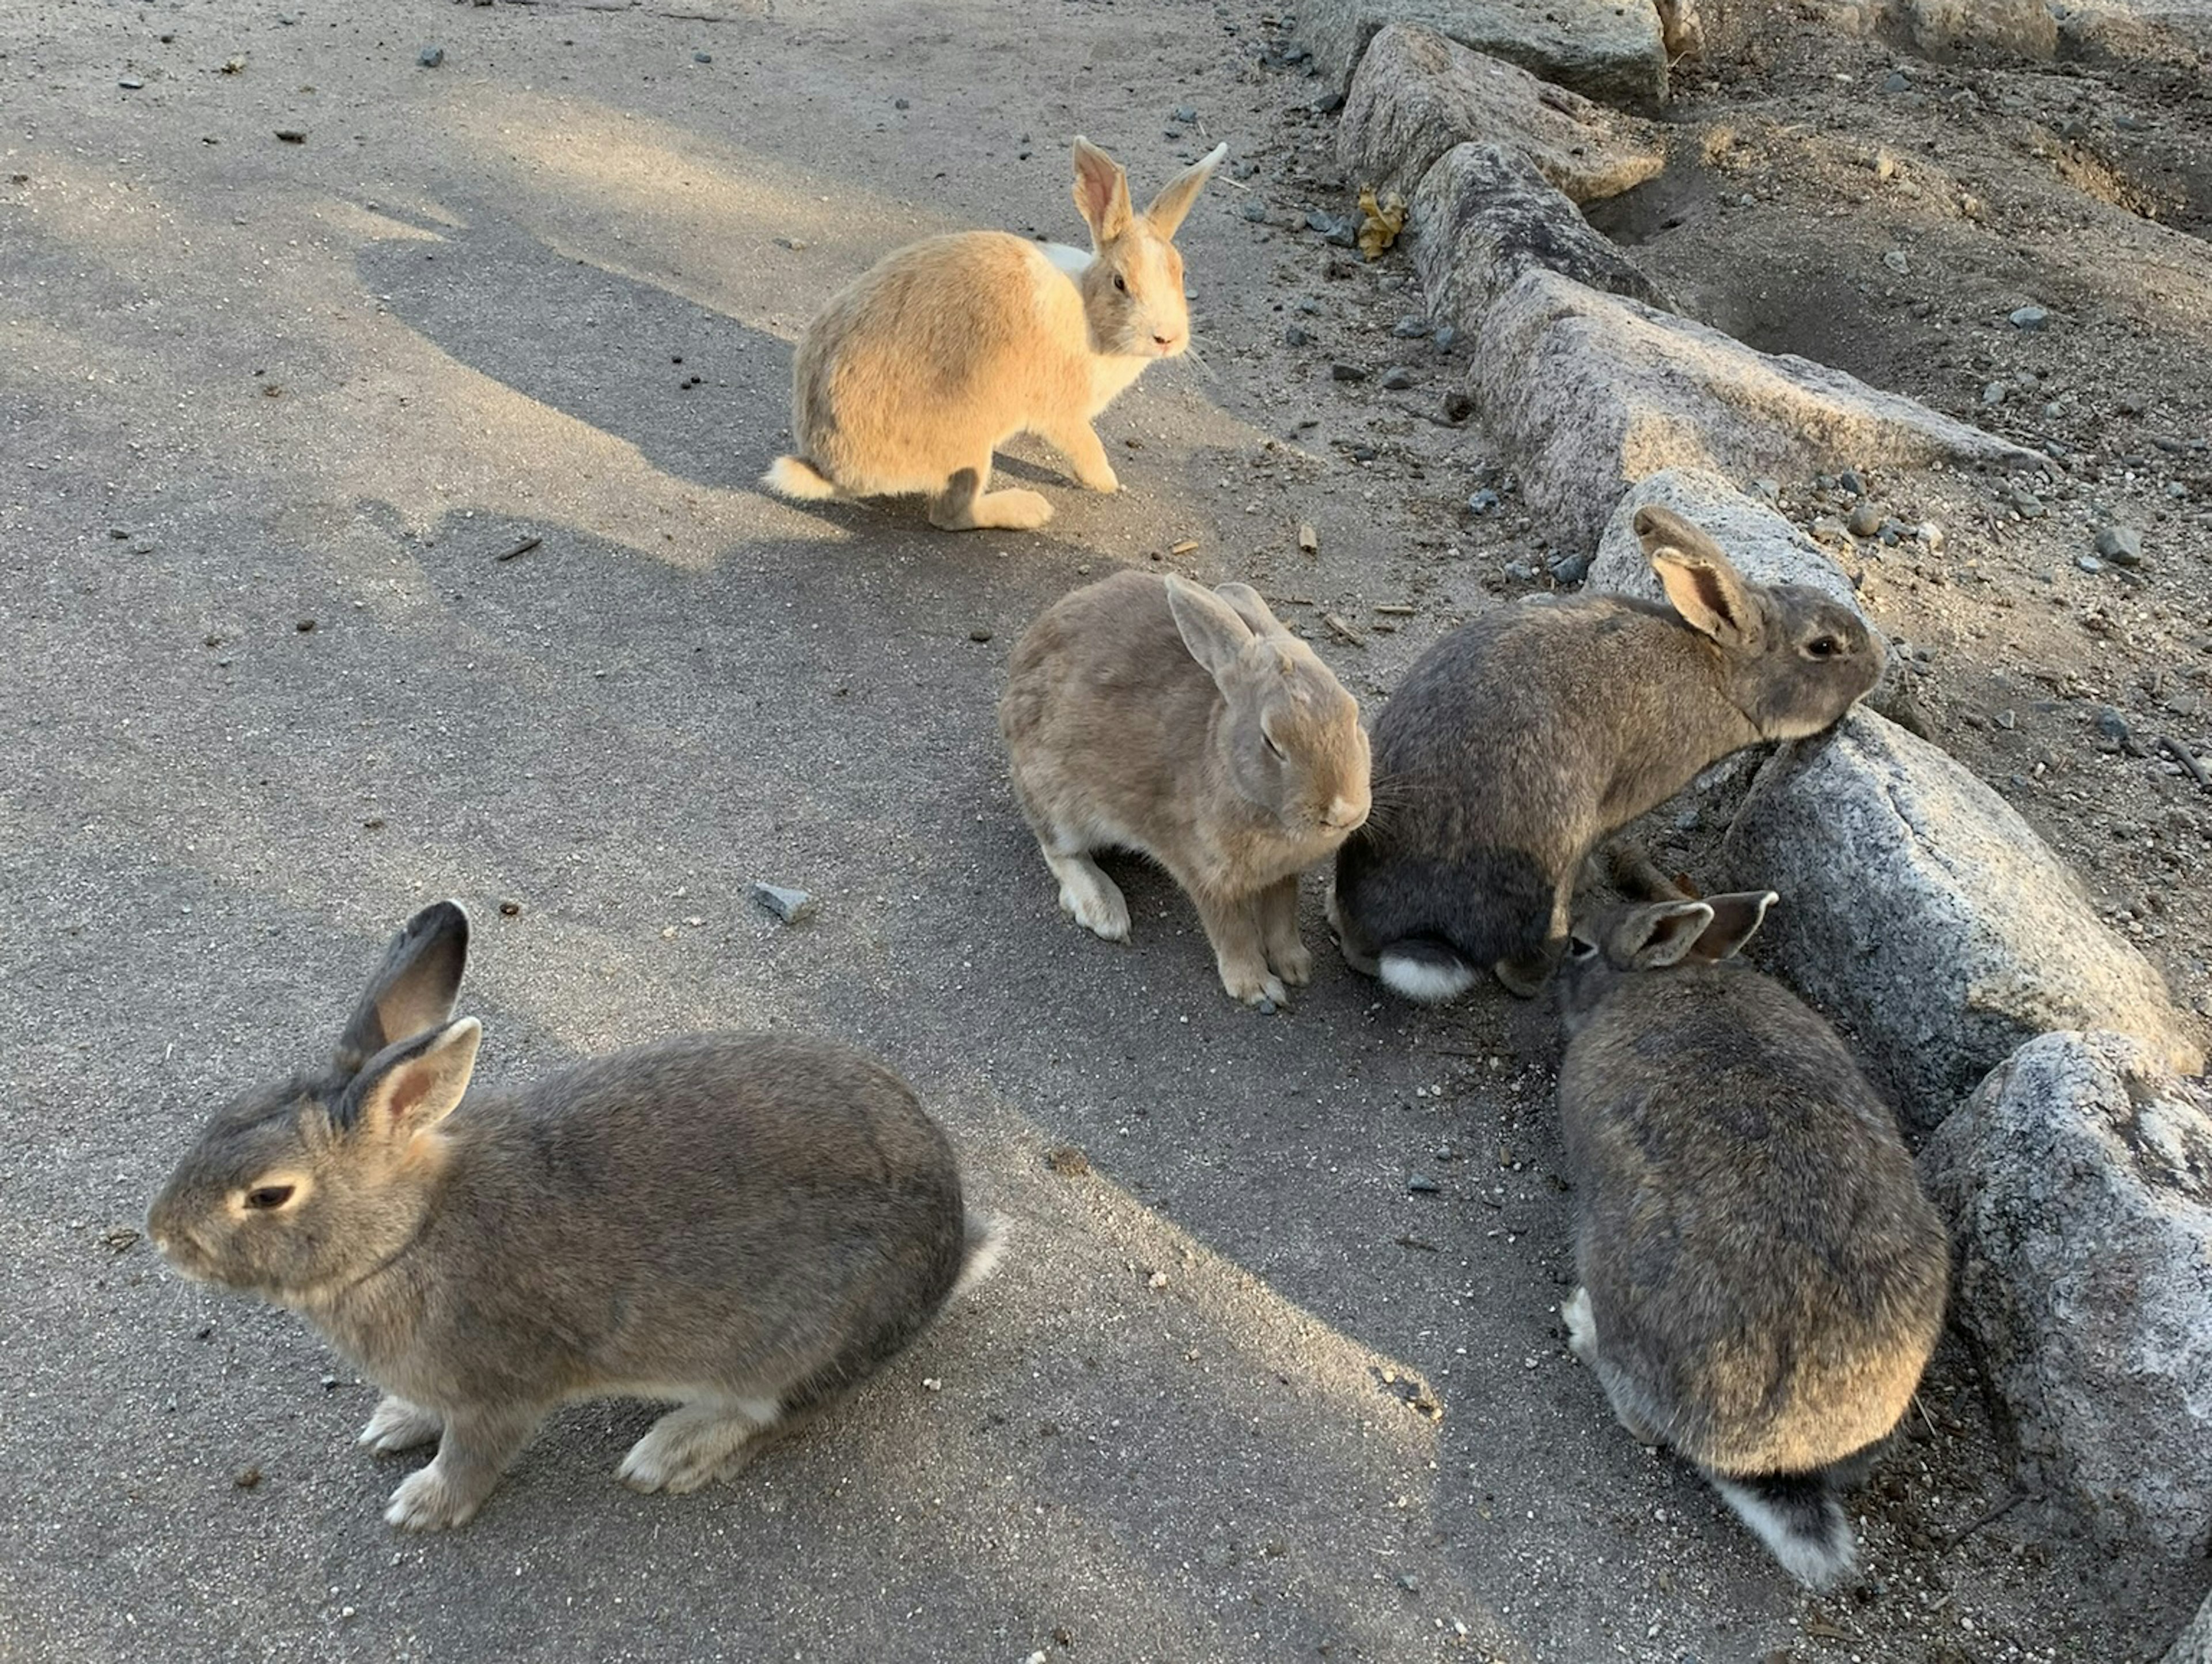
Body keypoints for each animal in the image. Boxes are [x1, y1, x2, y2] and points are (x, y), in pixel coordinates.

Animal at [142, 902, 999, 1531]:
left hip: (804, 1341)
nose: (160, 1235)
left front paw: (422, 1505)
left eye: (268, 1195)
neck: (406, 1236)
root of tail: (952, 1246)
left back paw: (669, 1453)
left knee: (769, 1412)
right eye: (220, 1115)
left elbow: (474, 1454)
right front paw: (392, 1424)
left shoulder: (499, 1392)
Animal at [765, 137, 1230, 528]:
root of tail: (831, 467)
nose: (1166, 338)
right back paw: (1029, 509)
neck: (1088, 311)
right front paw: (1107, 482)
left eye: (1181, 273)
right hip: (969, 448)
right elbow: (1086, 446)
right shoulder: (1061, 413)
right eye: (1120, 282)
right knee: (951, 515)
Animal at [999, 570, 1362, 1009]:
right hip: (1058, 802)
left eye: (1354, 716)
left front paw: (1296, 967)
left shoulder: (1281, 876)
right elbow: (1232, 931)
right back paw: (1104, 910)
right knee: (1058, 851)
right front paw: (1256, 988)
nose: (1344, 811)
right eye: (1272, 742)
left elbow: (1281, 916)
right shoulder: (1202, 872)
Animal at [1557, 889, 1955, 1593]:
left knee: (1641, 1421)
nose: (1555, 958)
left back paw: (1581, 1325)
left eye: (1580, 944)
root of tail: (1767, 1454)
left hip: (1616, 1268)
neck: (1665, 975)